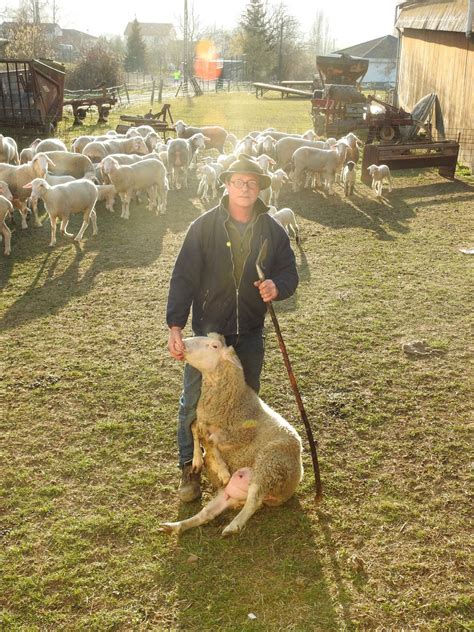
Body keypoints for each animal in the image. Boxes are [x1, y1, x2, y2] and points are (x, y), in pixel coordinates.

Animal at [161, 334, 304, 536]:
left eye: (214, 346)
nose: (182, 343)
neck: (233, 398)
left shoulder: (239, 434)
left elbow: (210, 439)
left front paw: (220, 467)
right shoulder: (203, 418)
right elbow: (194, 427)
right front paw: (198, 459)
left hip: (270, 465)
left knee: (253, 500)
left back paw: (233, 526)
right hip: (230, 493)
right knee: (207, 514)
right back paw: (176, 526)